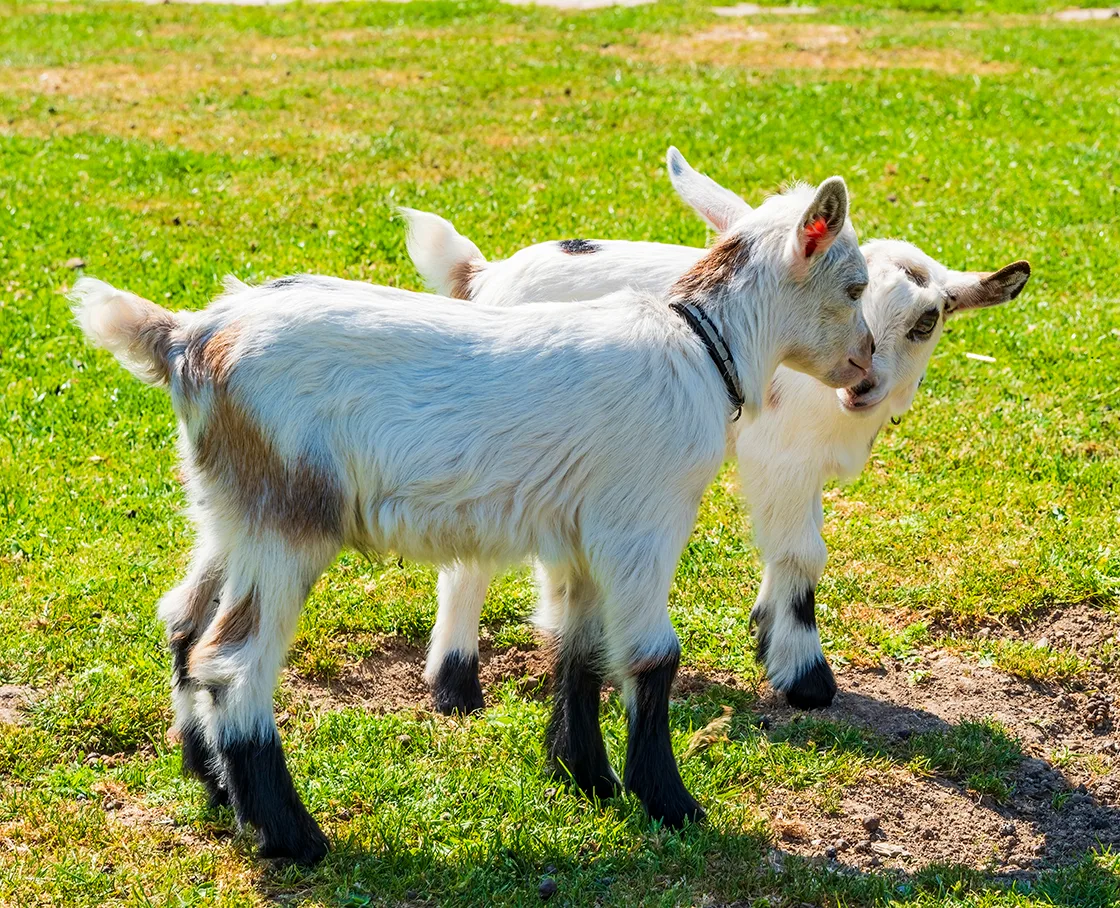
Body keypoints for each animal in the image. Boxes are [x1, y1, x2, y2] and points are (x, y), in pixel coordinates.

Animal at [73, 175, 873, 863]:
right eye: (855, 285)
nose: (866, 366)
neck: (701, 343)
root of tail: (190, 338)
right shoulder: (641, 526)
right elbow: (652, 657)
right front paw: (670, 803)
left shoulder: (582, 538)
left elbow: (578, 646)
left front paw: (586, 777)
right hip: (286, 522)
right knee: (233, 660)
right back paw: (289, 833)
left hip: (227, 512)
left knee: (183, 622)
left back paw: (212, 785)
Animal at [404, 147, 1030, 716]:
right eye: (854, 294)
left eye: (927, 321)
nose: (863, 380)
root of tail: (481, 277)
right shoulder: (782, 457)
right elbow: (805, 553)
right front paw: (806, 678)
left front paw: (765, 632)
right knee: (469, 557)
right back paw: (456, 686)